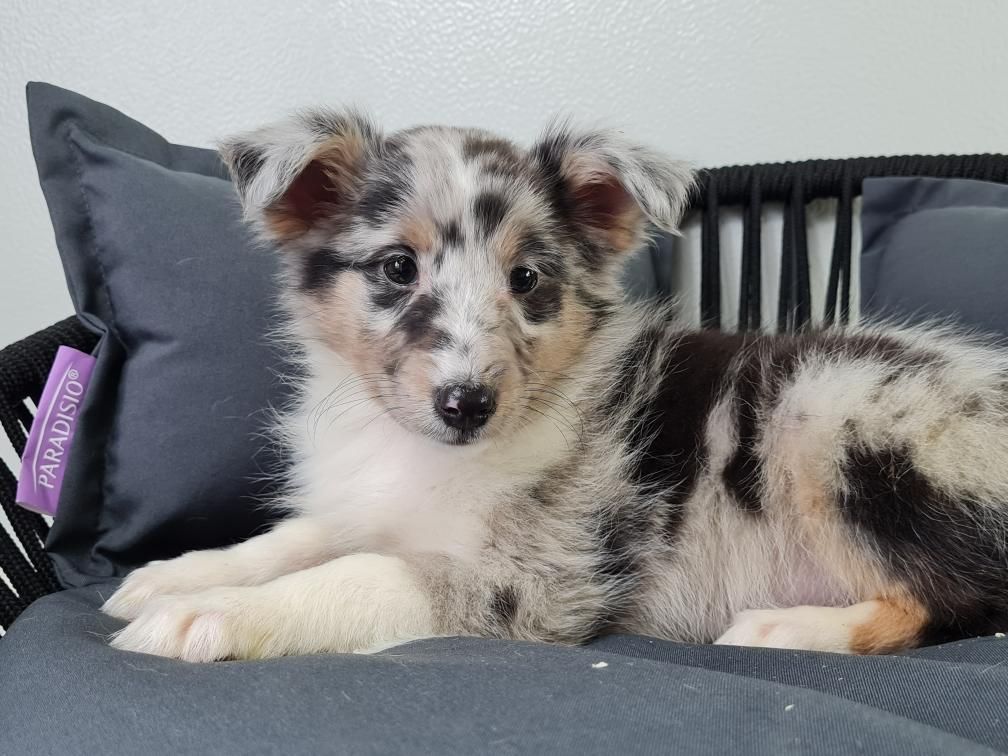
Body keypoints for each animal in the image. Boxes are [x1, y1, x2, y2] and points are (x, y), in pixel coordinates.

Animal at [104, 107, 1008, 661]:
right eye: (397, 269)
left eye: (528, 278)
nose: (467, 405)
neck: (430, 455)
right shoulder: (371, 506)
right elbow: (299, 537)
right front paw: (177, 575)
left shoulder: (534, 579)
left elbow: (361, 574)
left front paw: (214, 614)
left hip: (830, 410)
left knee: (964, 599)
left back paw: (785, 629)